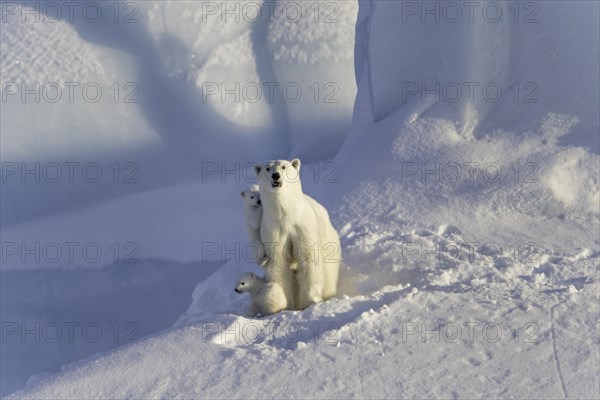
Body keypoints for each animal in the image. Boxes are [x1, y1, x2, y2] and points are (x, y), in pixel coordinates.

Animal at [253, 159, 340, 310]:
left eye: (283, 166)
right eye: (268, 169)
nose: (276, 176)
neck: (286, 215)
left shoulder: (303, 227)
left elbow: (309, 259)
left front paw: (311, 301)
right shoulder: (273, 230)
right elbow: (279, 264)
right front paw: (284, 304)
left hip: (330, 242)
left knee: (329, 272)